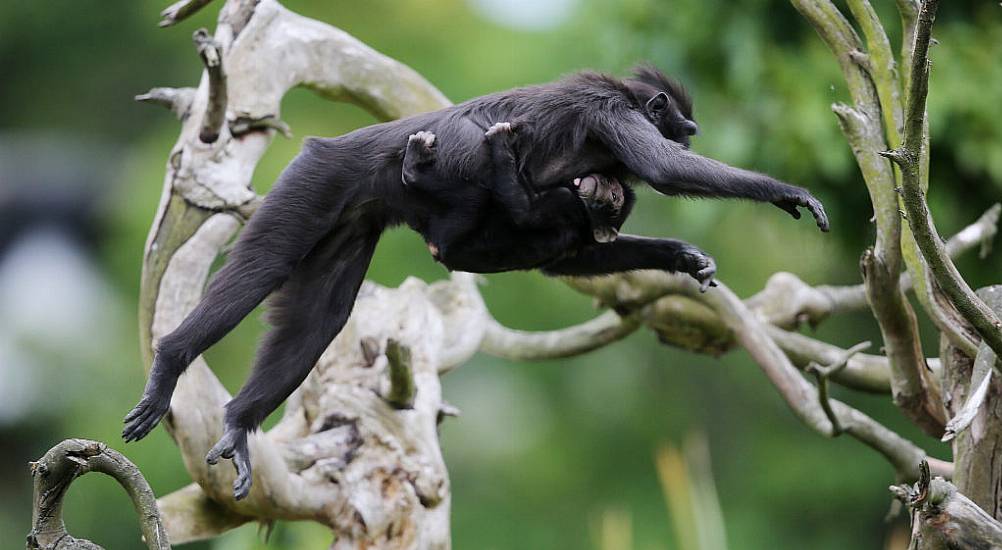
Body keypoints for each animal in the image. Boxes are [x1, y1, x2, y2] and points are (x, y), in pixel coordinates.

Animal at [123, 64, 829, 496]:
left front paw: (681, 256)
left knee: (318, 319)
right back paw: (171, 362)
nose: (690, 137)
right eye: (681, 129)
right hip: (320, 176)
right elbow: (660, 171)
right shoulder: (608, 112)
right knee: (265, 267)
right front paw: (785, 194)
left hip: (353, 214)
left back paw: (239, 423)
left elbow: (567, 255)